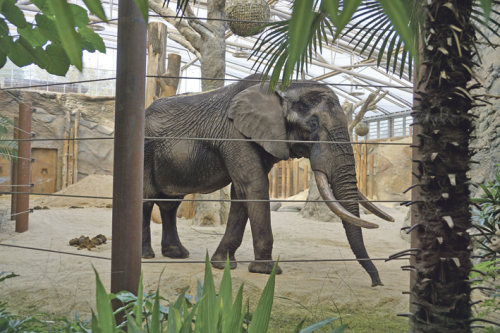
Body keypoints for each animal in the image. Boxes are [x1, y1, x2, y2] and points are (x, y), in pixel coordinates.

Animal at [142, 72, 394, 286]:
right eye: (313, 124)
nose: (377, 282)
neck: (284, 84)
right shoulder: (235, 134)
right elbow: (255, 186)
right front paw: (266, 270)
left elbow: (241, 193)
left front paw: (222, 264)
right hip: (145, 150)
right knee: (147, 198)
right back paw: (147, 255)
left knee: (170, 203)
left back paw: (177, 254)